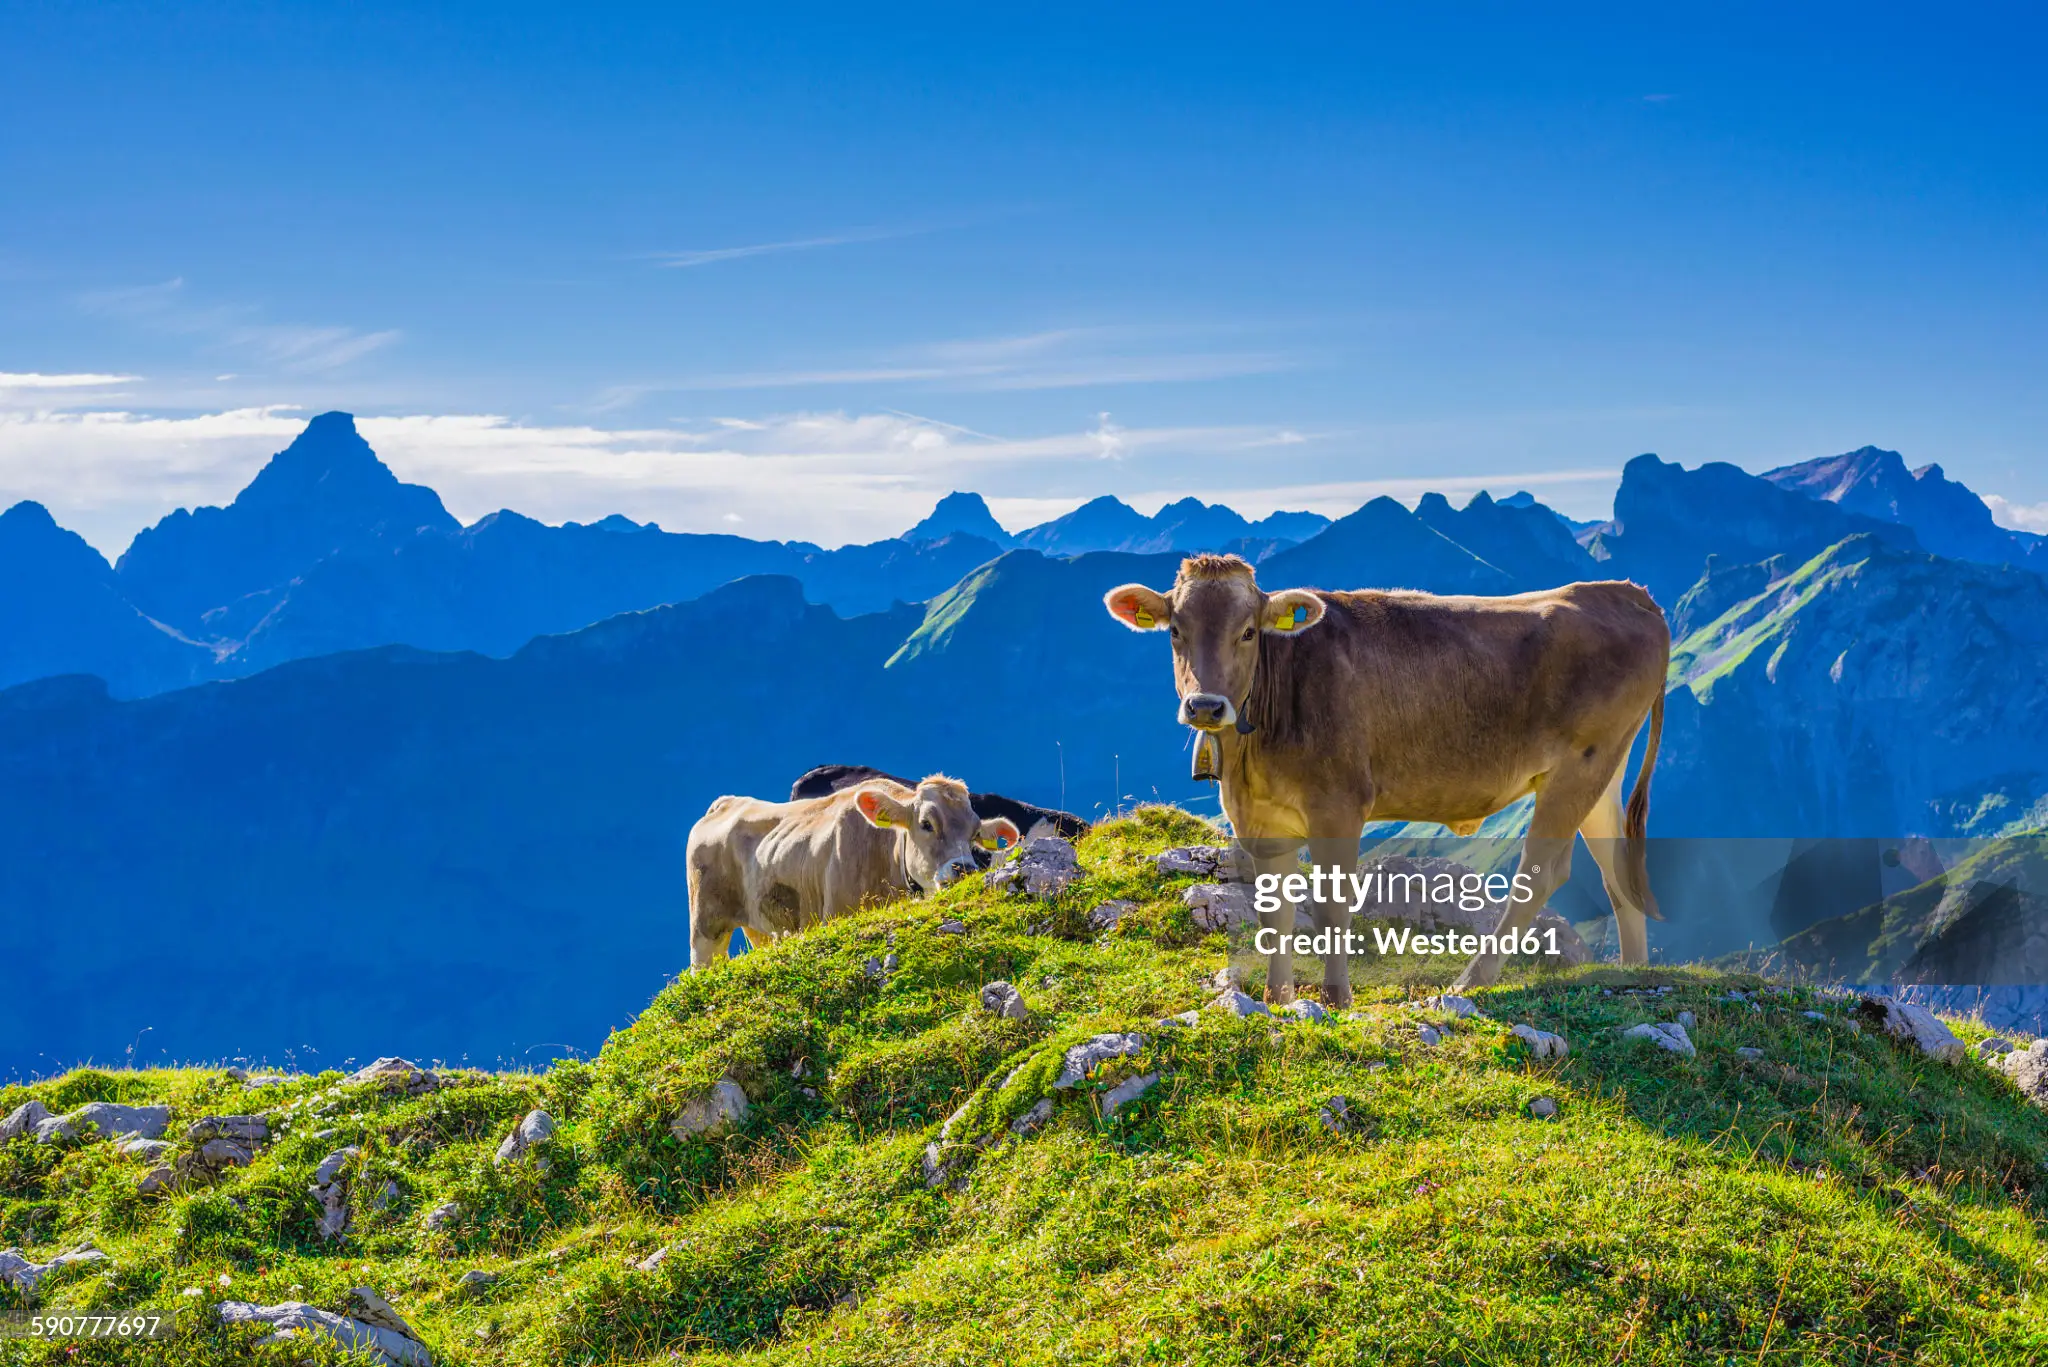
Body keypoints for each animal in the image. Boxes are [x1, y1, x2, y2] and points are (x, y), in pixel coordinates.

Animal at [686, 775, 1021, 970]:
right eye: (927, 824)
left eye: (975, 833)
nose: (963, 868)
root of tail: (726, 802)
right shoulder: (836, 913)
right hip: (706, 924)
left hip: (761, 925)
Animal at [1104, 553, 1667, 1006]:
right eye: (1175, 631)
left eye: (1248, 632)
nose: (1205, 706)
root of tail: (1626, 593)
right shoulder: (1259, 819)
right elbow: (1274, 913)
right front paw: (1276, 996)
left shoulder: (1338, 806)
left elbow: (1331, 907)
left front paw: (1336, 996)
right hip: (1603, 770)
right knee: (1616, 870)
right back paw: (1634, 974)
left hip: (1582, 762)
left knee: (1541, 874)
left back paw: (1469, 982)